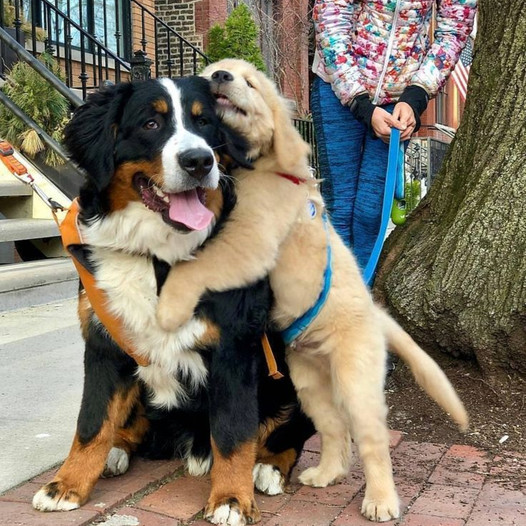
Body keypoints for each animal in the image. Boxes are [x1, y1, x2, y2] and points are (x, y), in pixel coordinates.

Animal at [33, 78, 314, 526]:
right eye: (151, 123)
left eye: (205, 123)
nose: (199, 161)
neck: (158, 256)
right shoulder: (103, 343)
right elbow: (92, 422)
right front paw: (66, 486)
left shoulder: (234, 348)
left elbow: (234, 432)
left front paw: (232, 499)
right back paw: (117, 449)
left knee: (290, 432)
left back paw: (268, 467)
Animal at [155, 58, 468, 524]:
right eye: (213, 73)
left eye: (248, 82)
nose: (220, 78)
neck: (265, 168)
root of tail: (376, 316)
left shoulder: (249, 242)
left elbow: (198, 265)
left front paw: (168, 308)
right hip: (309, 381)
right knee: (335, 430)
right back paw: (326, 474)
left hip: (357, 380)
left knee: (372, 440)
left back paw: (381, 500)